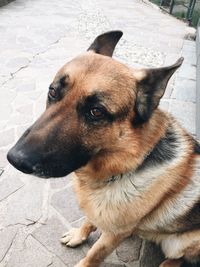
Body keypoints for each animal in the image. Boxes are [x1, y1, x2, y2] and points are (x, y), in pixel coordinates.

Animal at [7, 31, 200, 267]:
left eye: (96, 112)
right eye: (53, 92)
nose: (15, 159)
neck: (126, 165)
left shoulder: (115, 234)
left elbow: (95, 254)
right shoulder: (100, 214)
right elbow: (89, 221)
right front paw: (79, 235)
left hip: (181, 242)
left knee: (178, 257)